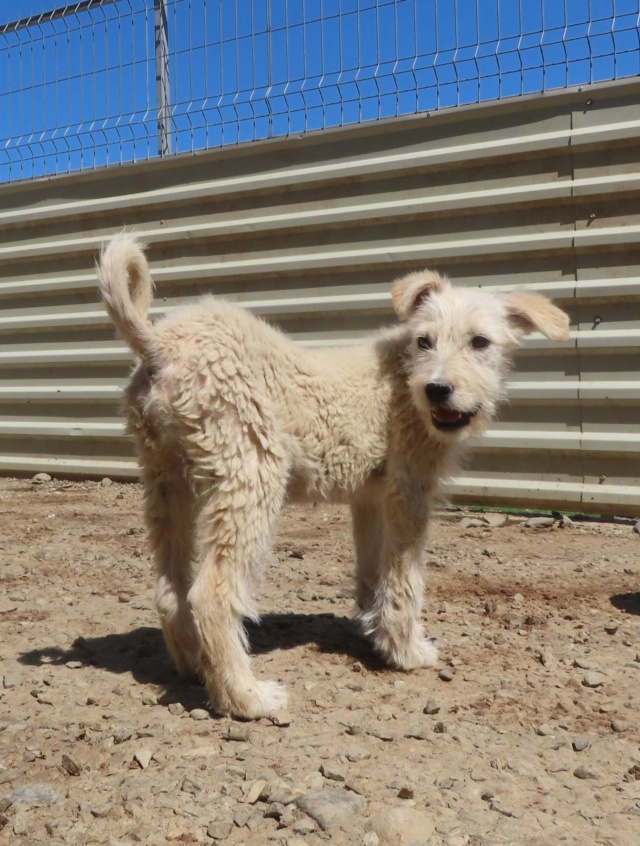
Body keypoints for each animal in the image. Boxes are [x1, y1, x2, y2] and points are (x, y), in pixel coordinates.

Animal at [96, 235, 568, 720]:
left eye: (480, 342)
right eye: (425, 340)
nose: (437, 390)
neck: (402, 377)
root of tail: (160, 344)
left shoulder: (370, 496)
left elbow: (374, 572)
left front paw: (377, 633)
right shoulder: (409, 492)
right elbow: (405, 580)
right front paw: (407, 651)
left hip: (166, 479)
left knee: (169, 588)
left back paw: (195, 668)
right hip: (251, 472)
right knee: (211, 592)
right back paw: (245, 697)